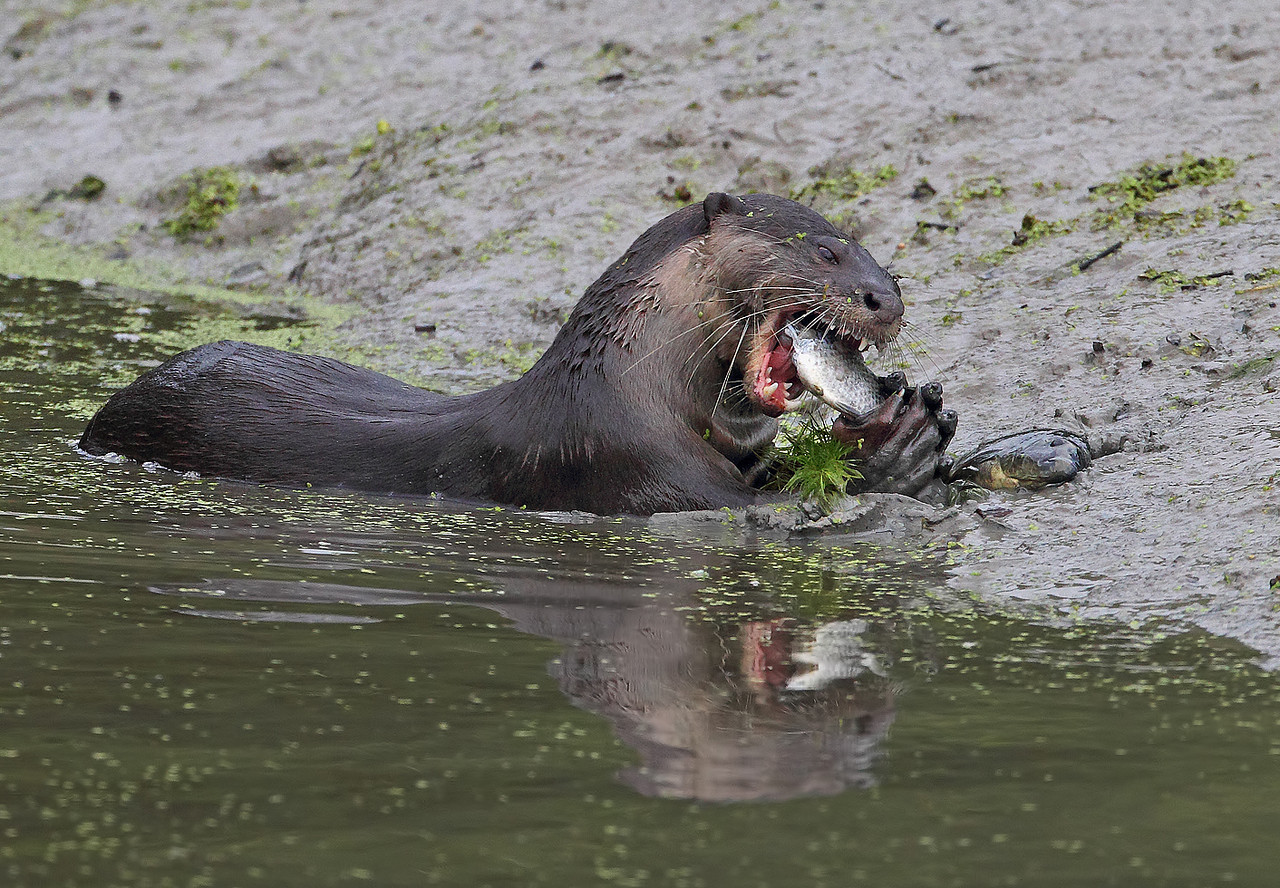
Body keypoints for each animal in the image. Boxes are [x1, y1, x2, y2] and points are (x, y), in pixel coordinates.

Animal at [80, 194, 957, 514]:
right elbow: (759, 508)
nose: (887, 297)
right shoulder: (631, 461)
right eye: (824, 250)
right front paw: (893, 449)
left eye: (873, 251)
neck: (623, 380)